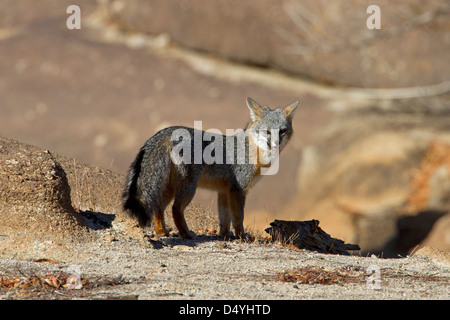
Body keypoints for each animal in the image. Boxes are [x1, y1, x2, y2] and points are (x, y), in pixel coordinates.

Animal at [123, 97, 298, 238]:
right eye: (267, 132)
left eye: (282, 131)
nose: (276, 143)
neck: (252, 151)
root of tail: (168, 131)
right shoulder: (238, 191)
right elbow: (238, 218)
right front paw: (241, 236)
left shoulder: (224, 192)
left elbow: (224, 218)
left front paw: (225, 236)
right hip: (188, 188)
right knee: (175, 209)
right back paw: (186, 234)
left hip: (170, 187)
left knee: (159, 207)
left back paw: (163, 232)